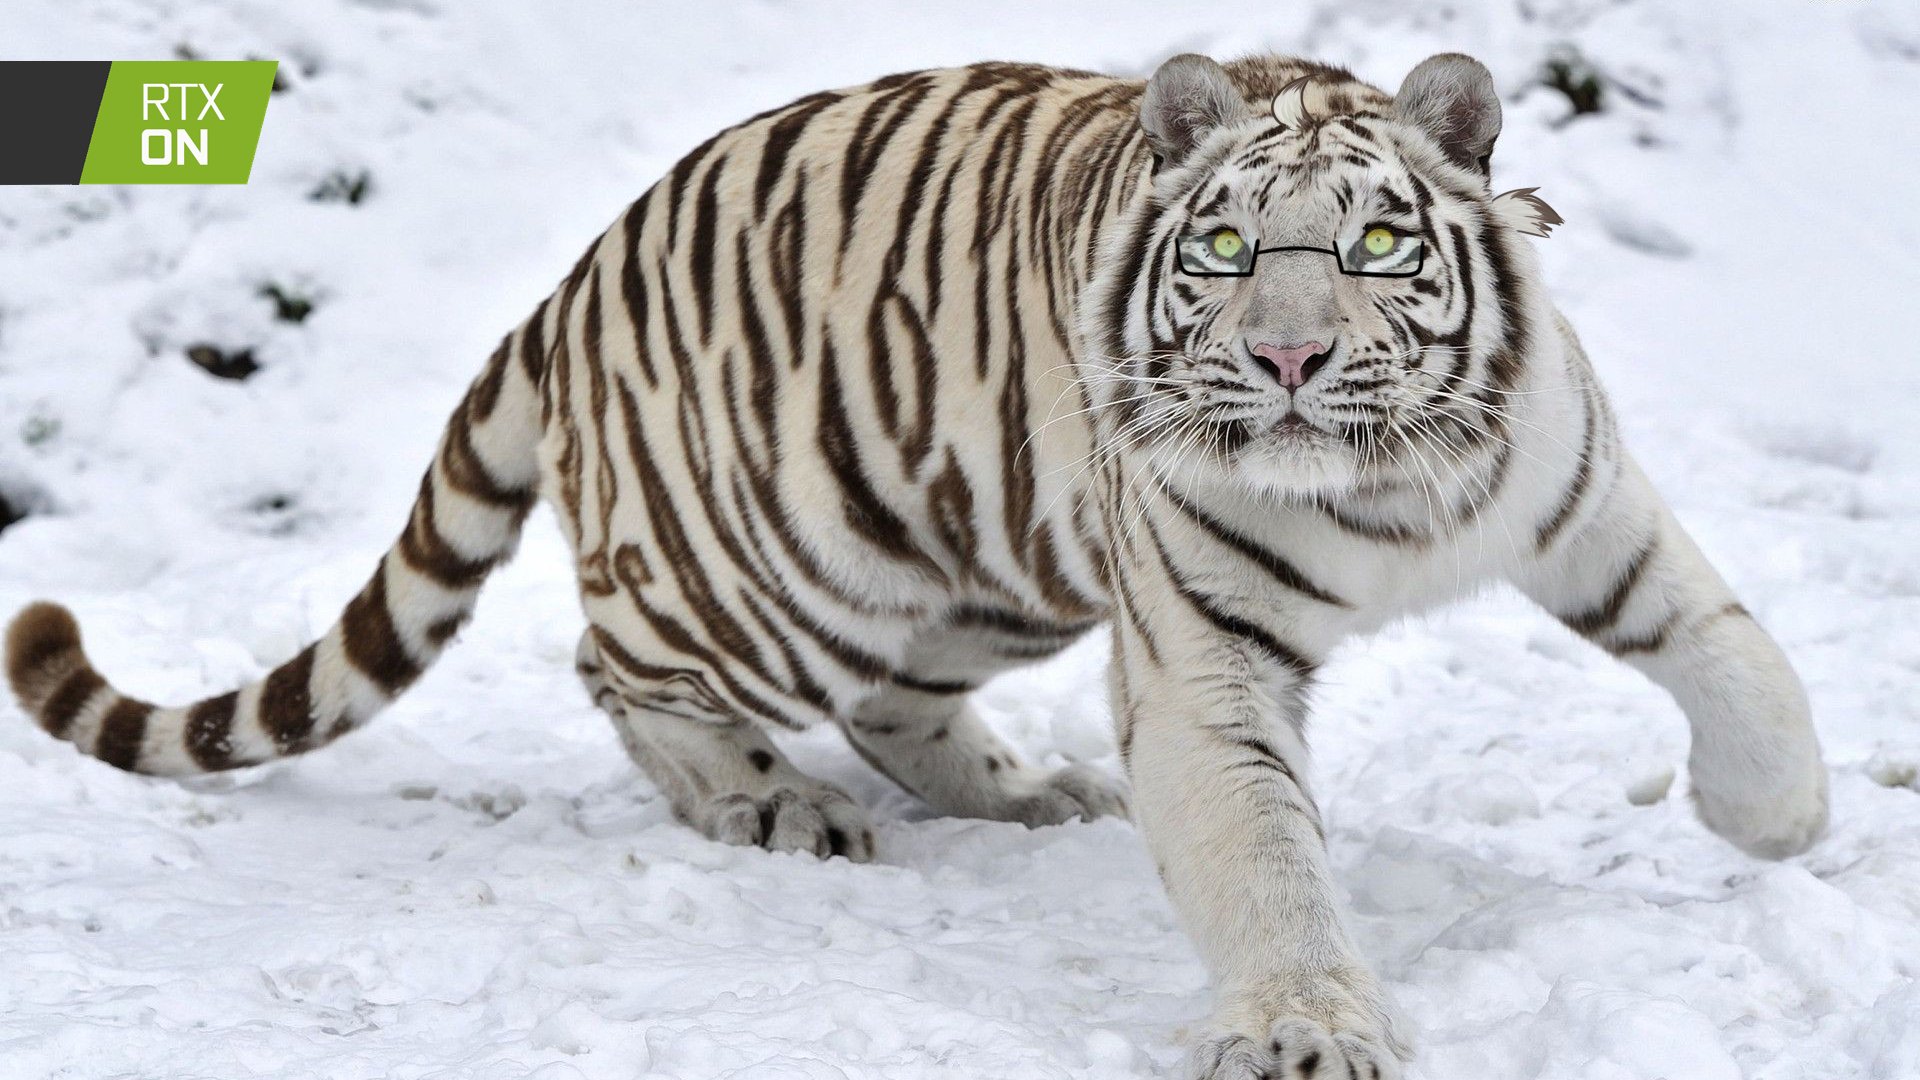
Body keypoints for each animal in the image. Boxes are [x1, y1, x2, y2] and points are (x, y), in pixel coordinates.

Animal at [5, 51, 1828, 1078]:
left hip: (972, 561)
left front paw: (1779, 823)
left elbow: (1734, 646)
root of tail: (573, 279)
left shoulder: (1582, 499)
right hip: (763, 570)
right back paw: (774, 809)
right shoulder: (1202, 661)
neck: (1383, 488)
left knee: (894, 703)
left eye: (1380, 242)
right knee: (616, 662)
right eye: (1228, 249)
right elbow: (1268, 861)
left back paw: (1026, 795)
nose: (1292, 360)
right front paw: (1309, 1026)